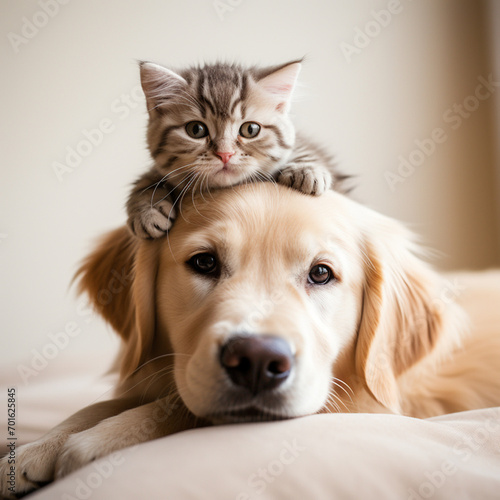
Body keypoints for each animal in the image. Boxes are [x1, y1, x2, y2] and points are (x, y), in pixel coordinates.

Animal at [0, 183, 500, 496]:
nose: (257, 361)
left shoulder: (362, 405)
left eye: (322, 273)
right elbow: (118, 401)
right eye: (204, 262)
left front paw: (96, 441)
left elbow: (180, 409)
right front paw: (37, 446)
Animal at [126, 60, 344, 238]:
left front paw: (306, 170)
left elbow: (306, 152)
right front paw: (148, 210)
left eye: (250, 129)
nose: (225, 154)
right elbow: (144, 182)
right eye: (196, 130)